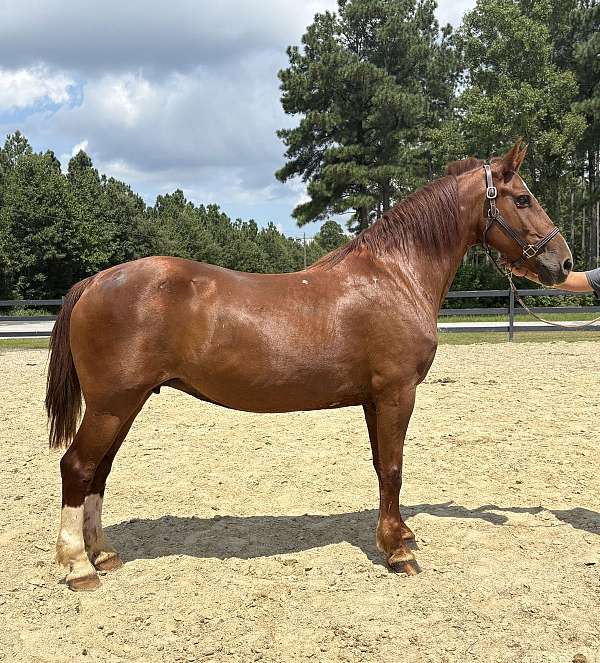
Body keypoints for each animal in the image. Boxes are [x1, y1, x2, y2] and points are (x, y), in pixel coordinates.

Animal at [45, 141, 572, 590]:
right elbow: (394, 467)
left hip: (124, 406)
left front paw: (397, 535)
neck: (395, 275)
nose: (563, 262)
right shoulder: (397, 392)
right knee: (77, 467)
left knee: (99, 472)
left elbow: (381, 466)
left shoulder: (373, 399)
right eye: (523, 198)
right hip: (113, 405)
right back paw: (78, 566)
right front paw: (399, 551)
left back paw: (104, 554)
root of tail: (96, 280)